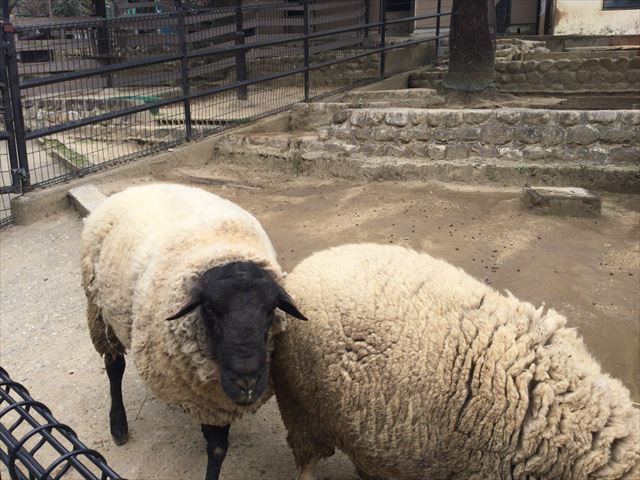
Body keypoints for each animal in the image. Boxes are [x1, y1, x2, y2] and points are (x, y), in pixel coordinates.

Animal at [80, 184, 308, 480]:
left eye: (271, 309)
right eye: (210, 308)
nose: (246, 382)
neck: (222, 249)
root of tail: (137, 187)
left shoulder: (216, 399)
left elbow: (218, 446)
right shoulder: (208, 398)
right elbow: (217, 449)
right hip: (100, 311)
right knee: (114, 366)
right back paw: (118, 425)